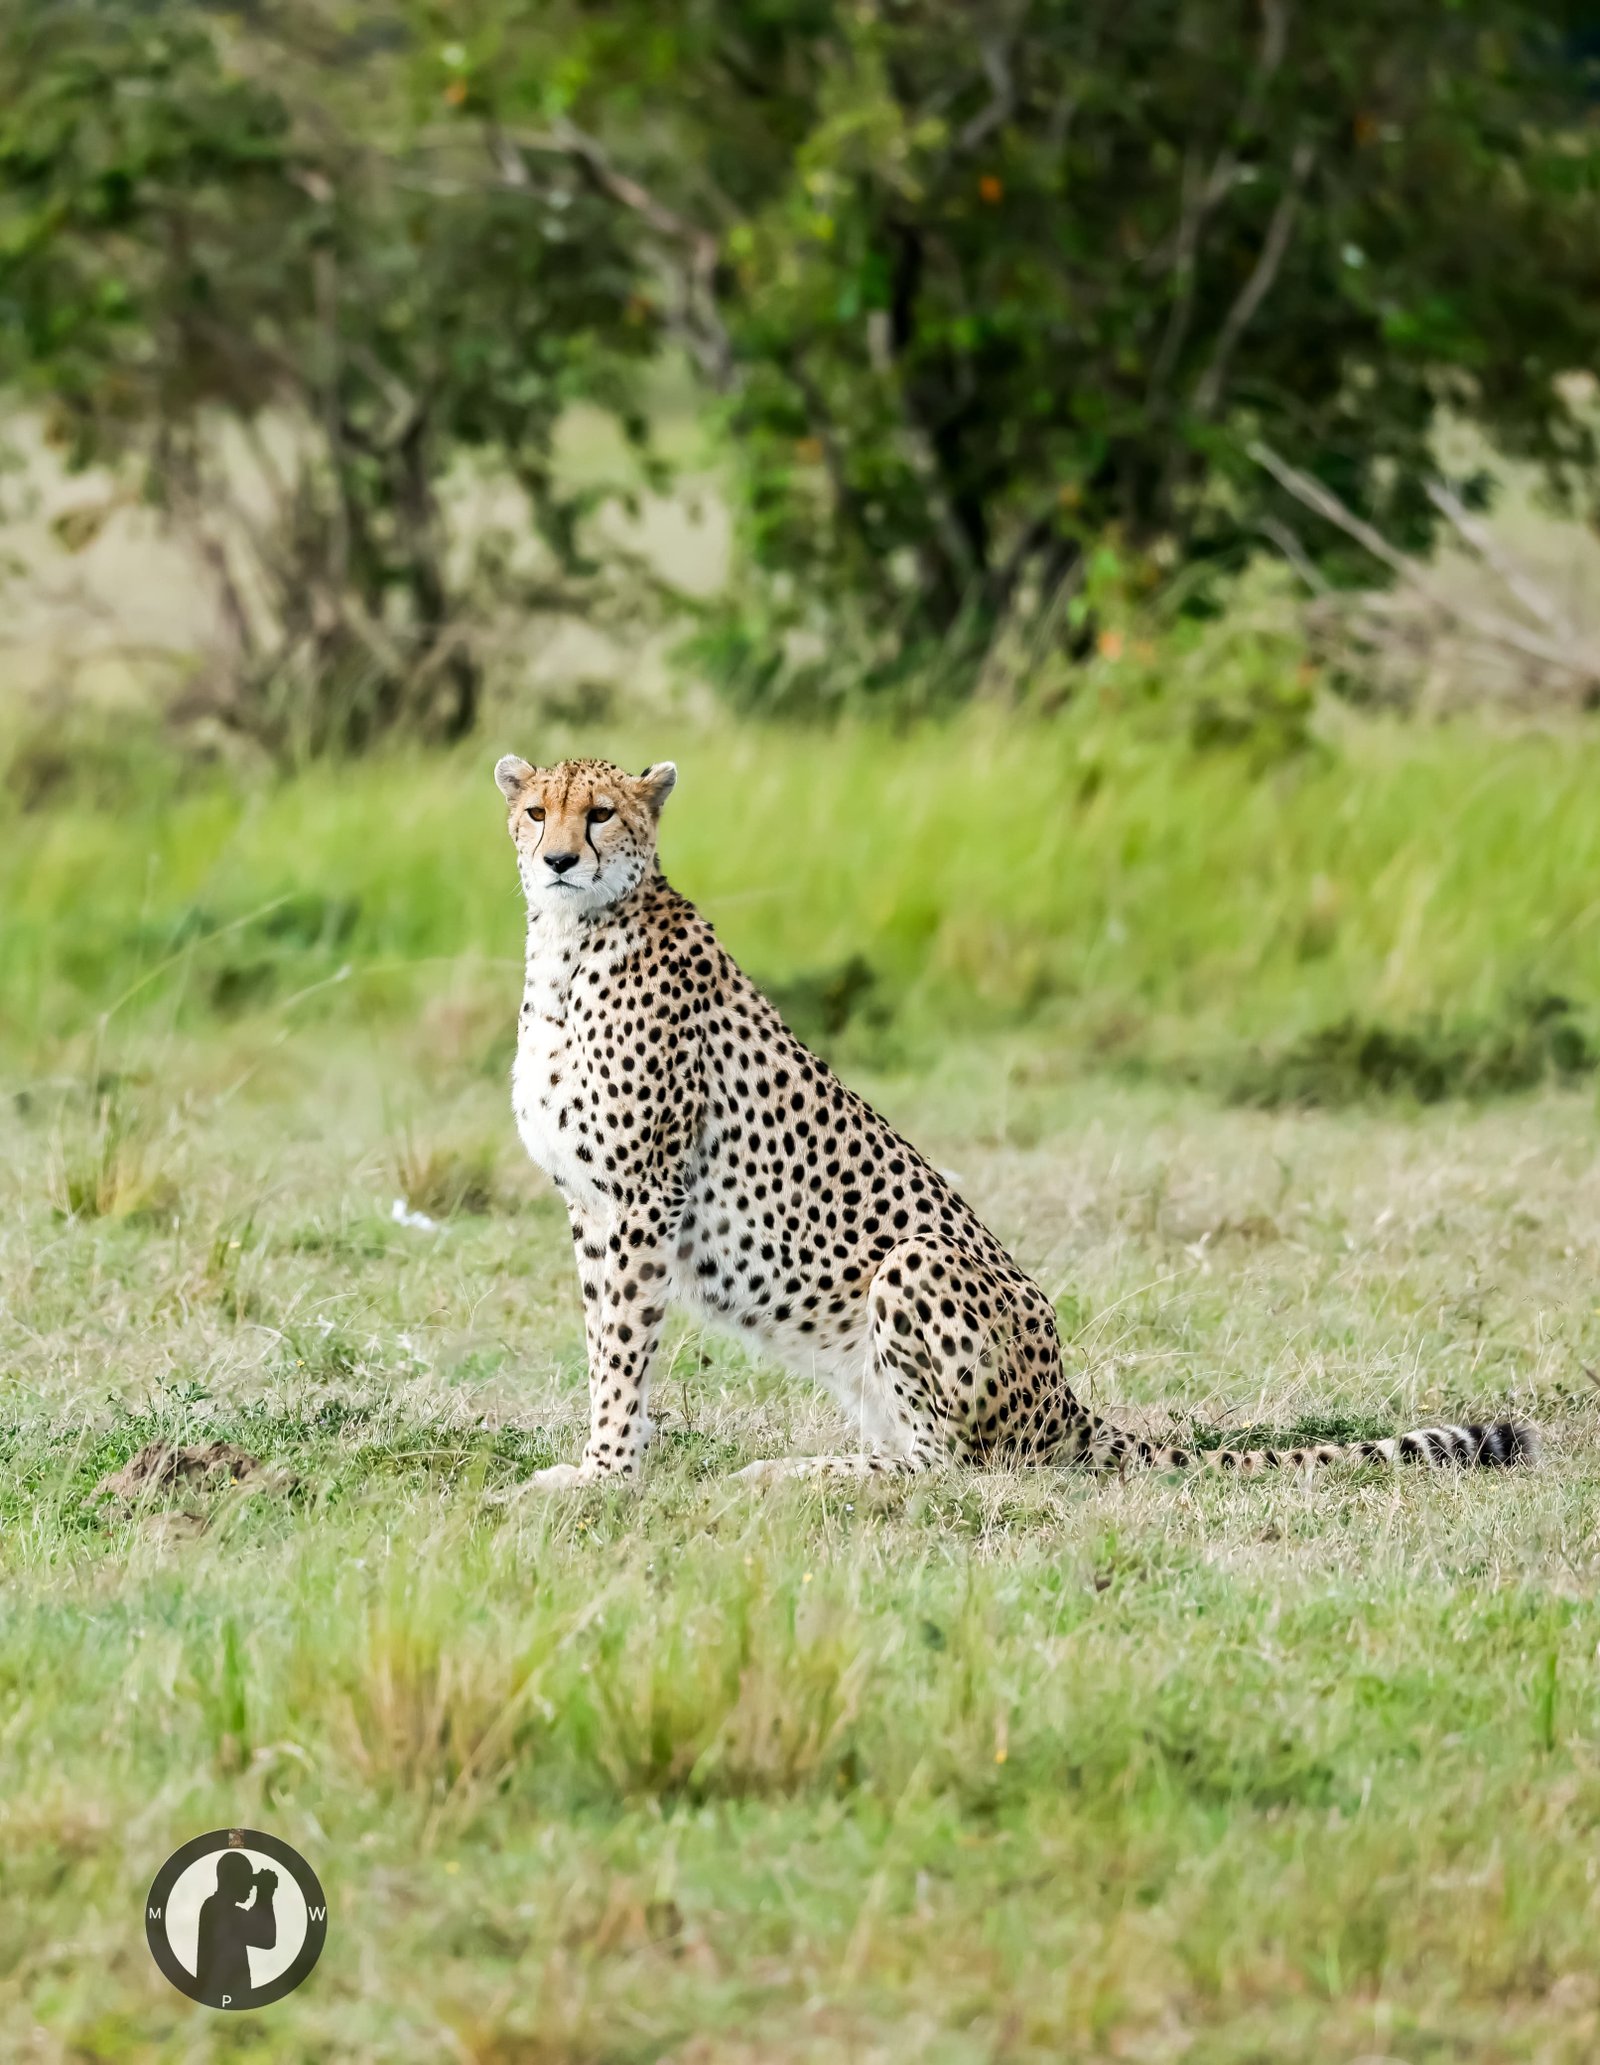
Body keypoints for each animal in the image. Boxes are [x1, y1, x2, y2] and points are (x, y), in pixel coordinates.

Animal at [495, 752, 1537, 1488]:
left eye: (600, 812)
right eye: (536, 809)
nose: (558, 858)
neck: (572, 942)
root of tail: (1064, 1397)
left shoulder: (641, 1197)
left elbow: (623, 1348)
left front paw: (604, 1474)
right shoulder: (593, 1208)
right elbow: (604, 1340)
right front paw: (604, 1462)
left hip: (915, 1263)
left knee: (948, 1465)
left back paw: (795, 1471)